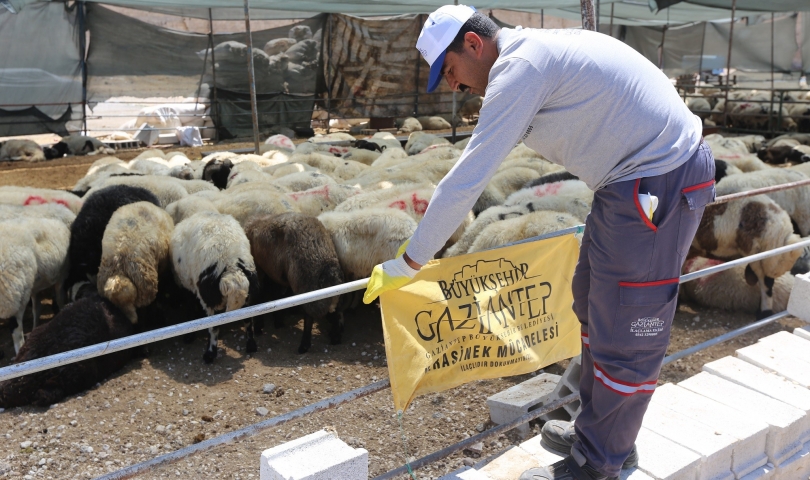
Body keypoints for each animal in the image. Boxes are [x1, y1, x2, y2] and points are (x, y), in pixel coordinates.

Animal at [170, 212, 258, 362]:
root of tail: (232, 267)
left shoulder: (188, 286)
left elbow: (190, 308)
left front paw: (190, 337)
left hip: (209, 299)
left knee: (213, 326)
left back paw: (210, 354)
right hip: (247, 294)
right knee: (247, 318)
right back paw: (251, 345)